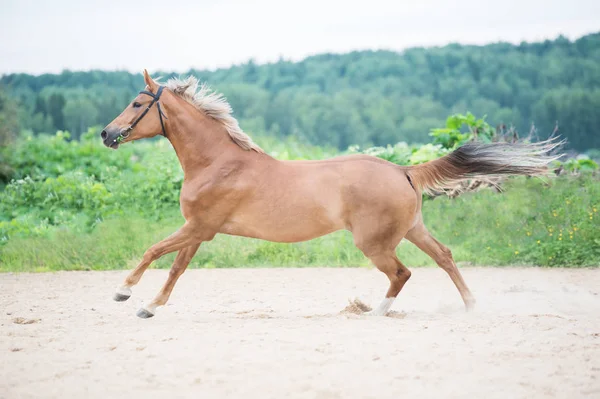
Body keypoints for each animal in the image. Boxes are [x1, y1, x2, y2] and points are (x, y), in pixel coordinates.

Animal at [99, 69, 556, 318]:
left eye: (137, 102)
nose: (106, 134)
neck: (218, 163)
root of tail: (403, 170)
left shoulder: (198, 227)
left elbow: (153, 252)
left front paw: (123, 292)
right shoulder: (199, 230)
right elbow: (176, 268)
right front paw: (148, 306)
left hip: (375, 242)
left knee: (401, 273)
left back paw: (375, 312)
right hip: (411, 229)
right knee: (444, 256)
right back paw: (470, 305)